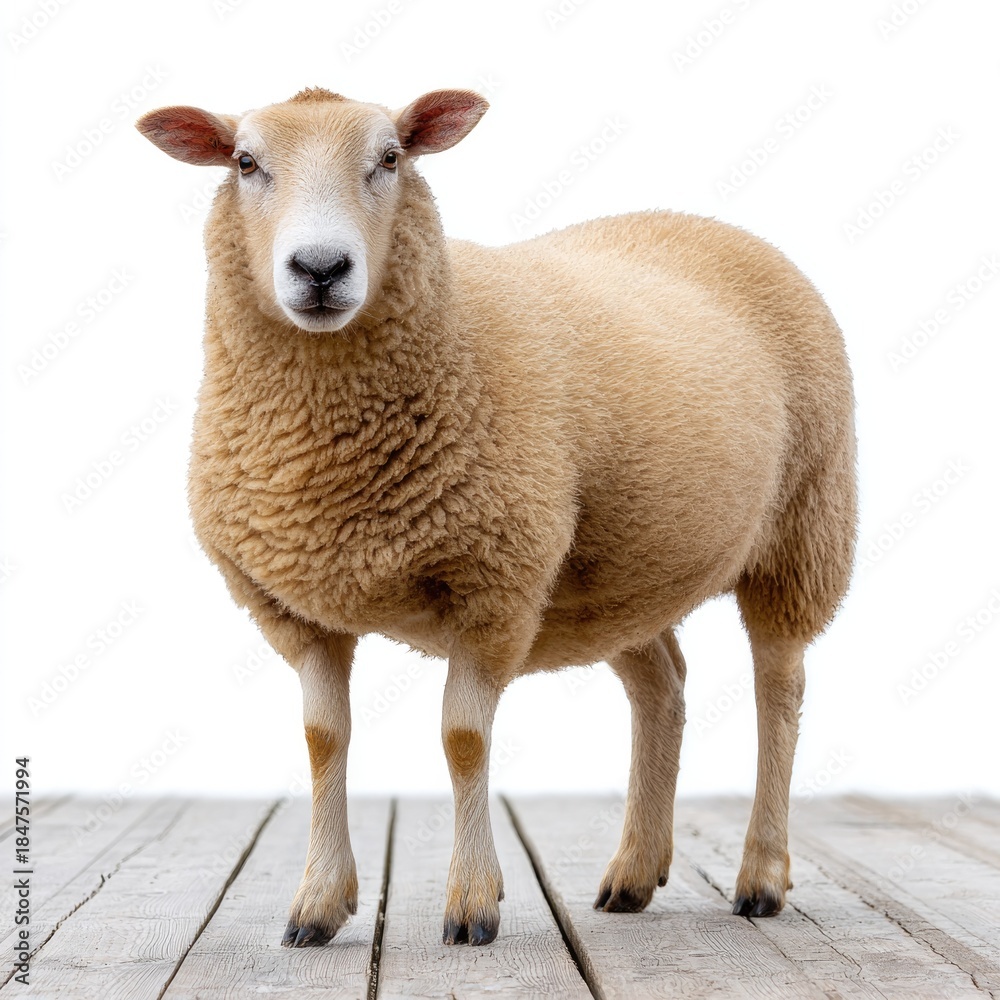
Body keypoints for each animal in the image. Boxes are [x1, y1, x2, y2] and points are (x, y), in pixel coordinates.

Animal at [136, 86, 856, 948]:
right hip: (617, 572)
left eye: (390, 158)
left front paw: (473, 903)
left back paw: (761, 878)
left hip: (804, 525)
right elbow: (321, 741)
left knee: (779, 687)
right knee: (663, 688)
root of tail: (712, 223)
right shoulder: (293, 607)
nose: (320, 268)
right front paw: (318, 904)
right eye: (246, 163)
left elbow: (462, 738)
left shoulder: (495, 583)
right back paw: (633, 873)